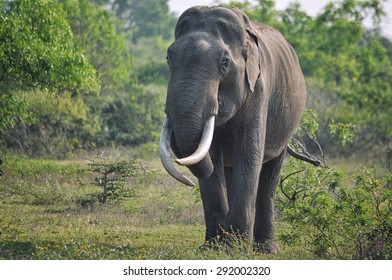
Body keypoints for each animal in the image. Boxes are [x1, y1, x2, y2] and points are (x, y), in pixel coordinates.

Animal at [158, 6, 306, 254]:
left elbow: (248, 153)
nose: (188, 181)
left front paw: (234, 247)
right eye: (169, 58)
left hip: (285, 131)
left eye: (225, 63)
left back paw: (266, 249)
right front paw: (213, 248)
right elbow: (212, 156)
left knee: (269, 177)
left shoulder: (258, 89)